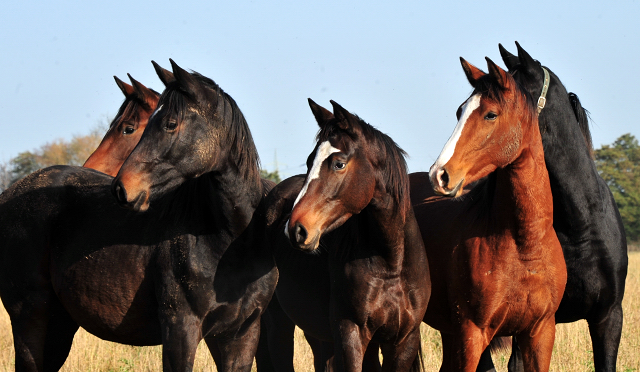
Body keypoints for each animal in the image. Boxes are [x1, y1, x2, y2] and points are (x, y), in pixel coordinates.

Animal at [0, 59, 278, 370]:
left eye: (170, 124)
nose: (121, 188)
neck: (227, 241)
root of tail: (8, 194)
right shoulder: (180, 330)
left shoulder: (240, 335)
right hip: (31, 320)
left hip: (59, 324)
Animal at [260, 99, 430, 372]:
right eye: (309, 161)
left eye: (338, 163)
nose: (295, 229)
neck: (391, 263)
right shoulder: (351, 334)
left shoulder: (404, 340)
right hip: (279, 322)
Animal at [410, 56, 564, 372]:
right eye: (459, 111)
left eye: (490, 115)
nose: (439, 175)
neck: (523, 243)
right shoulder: (473, 333)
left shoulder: (540, 333)